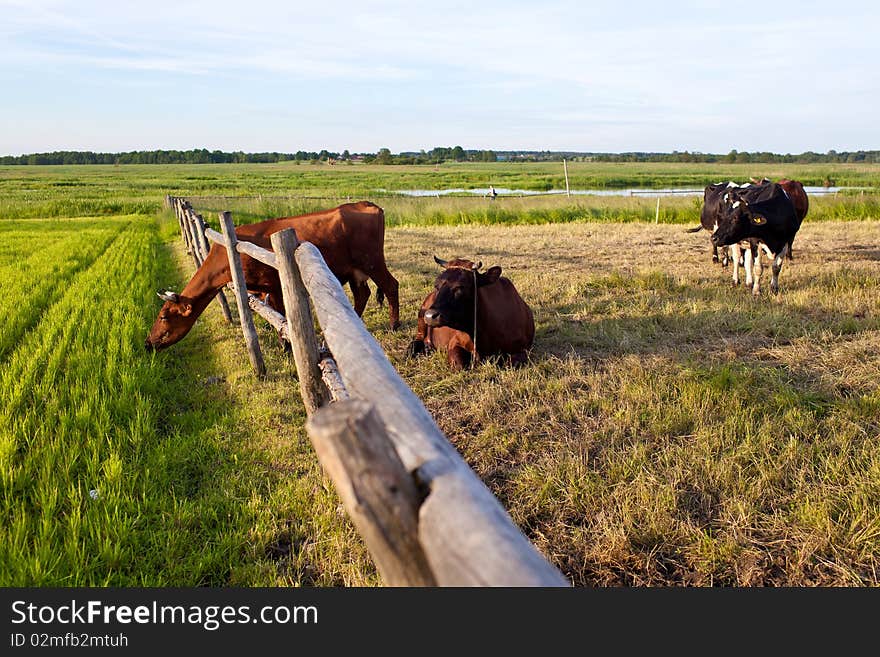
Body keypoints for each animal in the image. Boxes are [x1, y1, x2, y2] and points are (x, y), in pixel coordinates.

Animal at [146, 200, 400, 352]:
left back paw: (394, 324)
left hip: (372, 261)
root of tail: (366, 204)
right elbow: (275, 313)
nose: (148, 342)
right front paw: (283, 342)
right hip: (356, 270)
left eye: (164, 316)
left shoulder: (275, 284)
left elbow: (282, 315)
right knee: (363, 294)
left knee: (390, 285)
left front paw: (286, 346)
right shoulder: (266, 288)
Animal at [406, 255, 536, 368]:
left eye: (460, 287)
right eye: (436, 285)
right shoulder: (454, 343)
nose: (430, 315)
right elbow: (459, 364)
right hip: (421, 316)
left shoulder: (524, 349)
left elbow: (510, 364)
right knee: (418, 339)